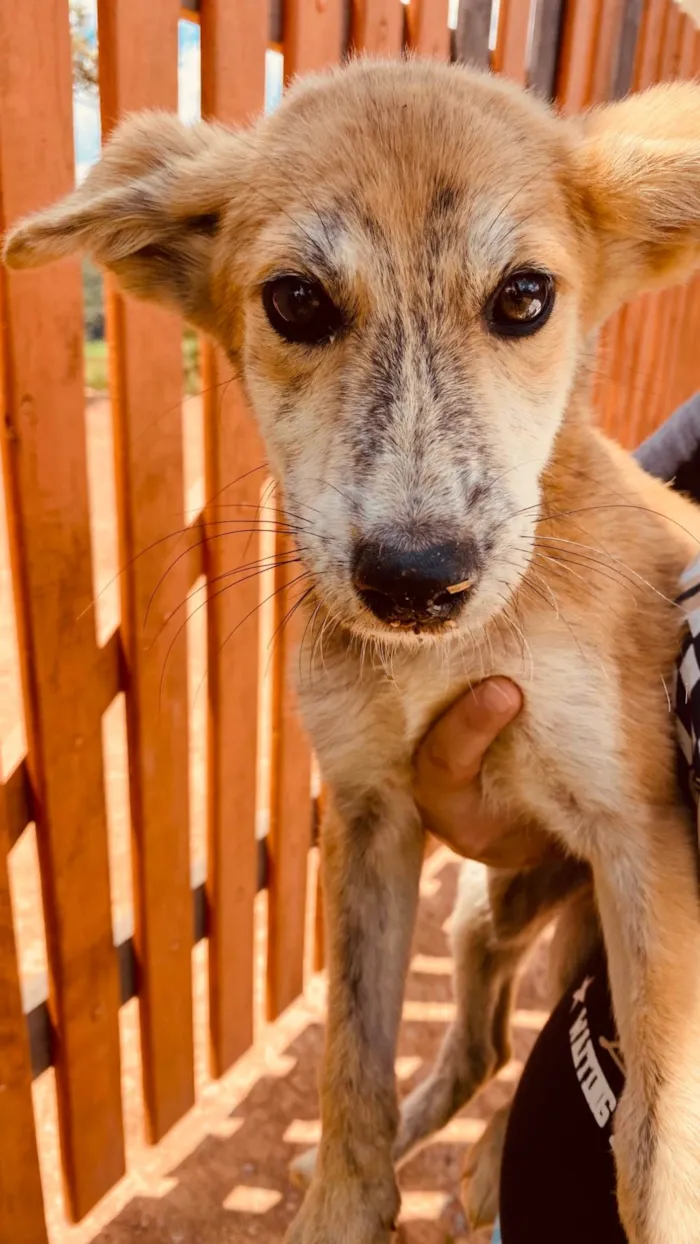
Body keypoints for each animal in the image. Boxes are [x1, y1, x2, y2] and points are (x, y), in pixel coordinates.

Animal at [6, 60, 700, 1244]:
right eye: (296, 301)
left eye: (525, 297)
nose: (417, 580)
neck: (450, 659)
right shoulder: (371, 808)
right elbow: (347, 1065)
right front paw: (340, 1201)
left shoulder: (639, 831)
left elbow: (655, 1146)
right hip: (488, 908)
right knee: (481, 1042)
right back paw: (470, 1162)